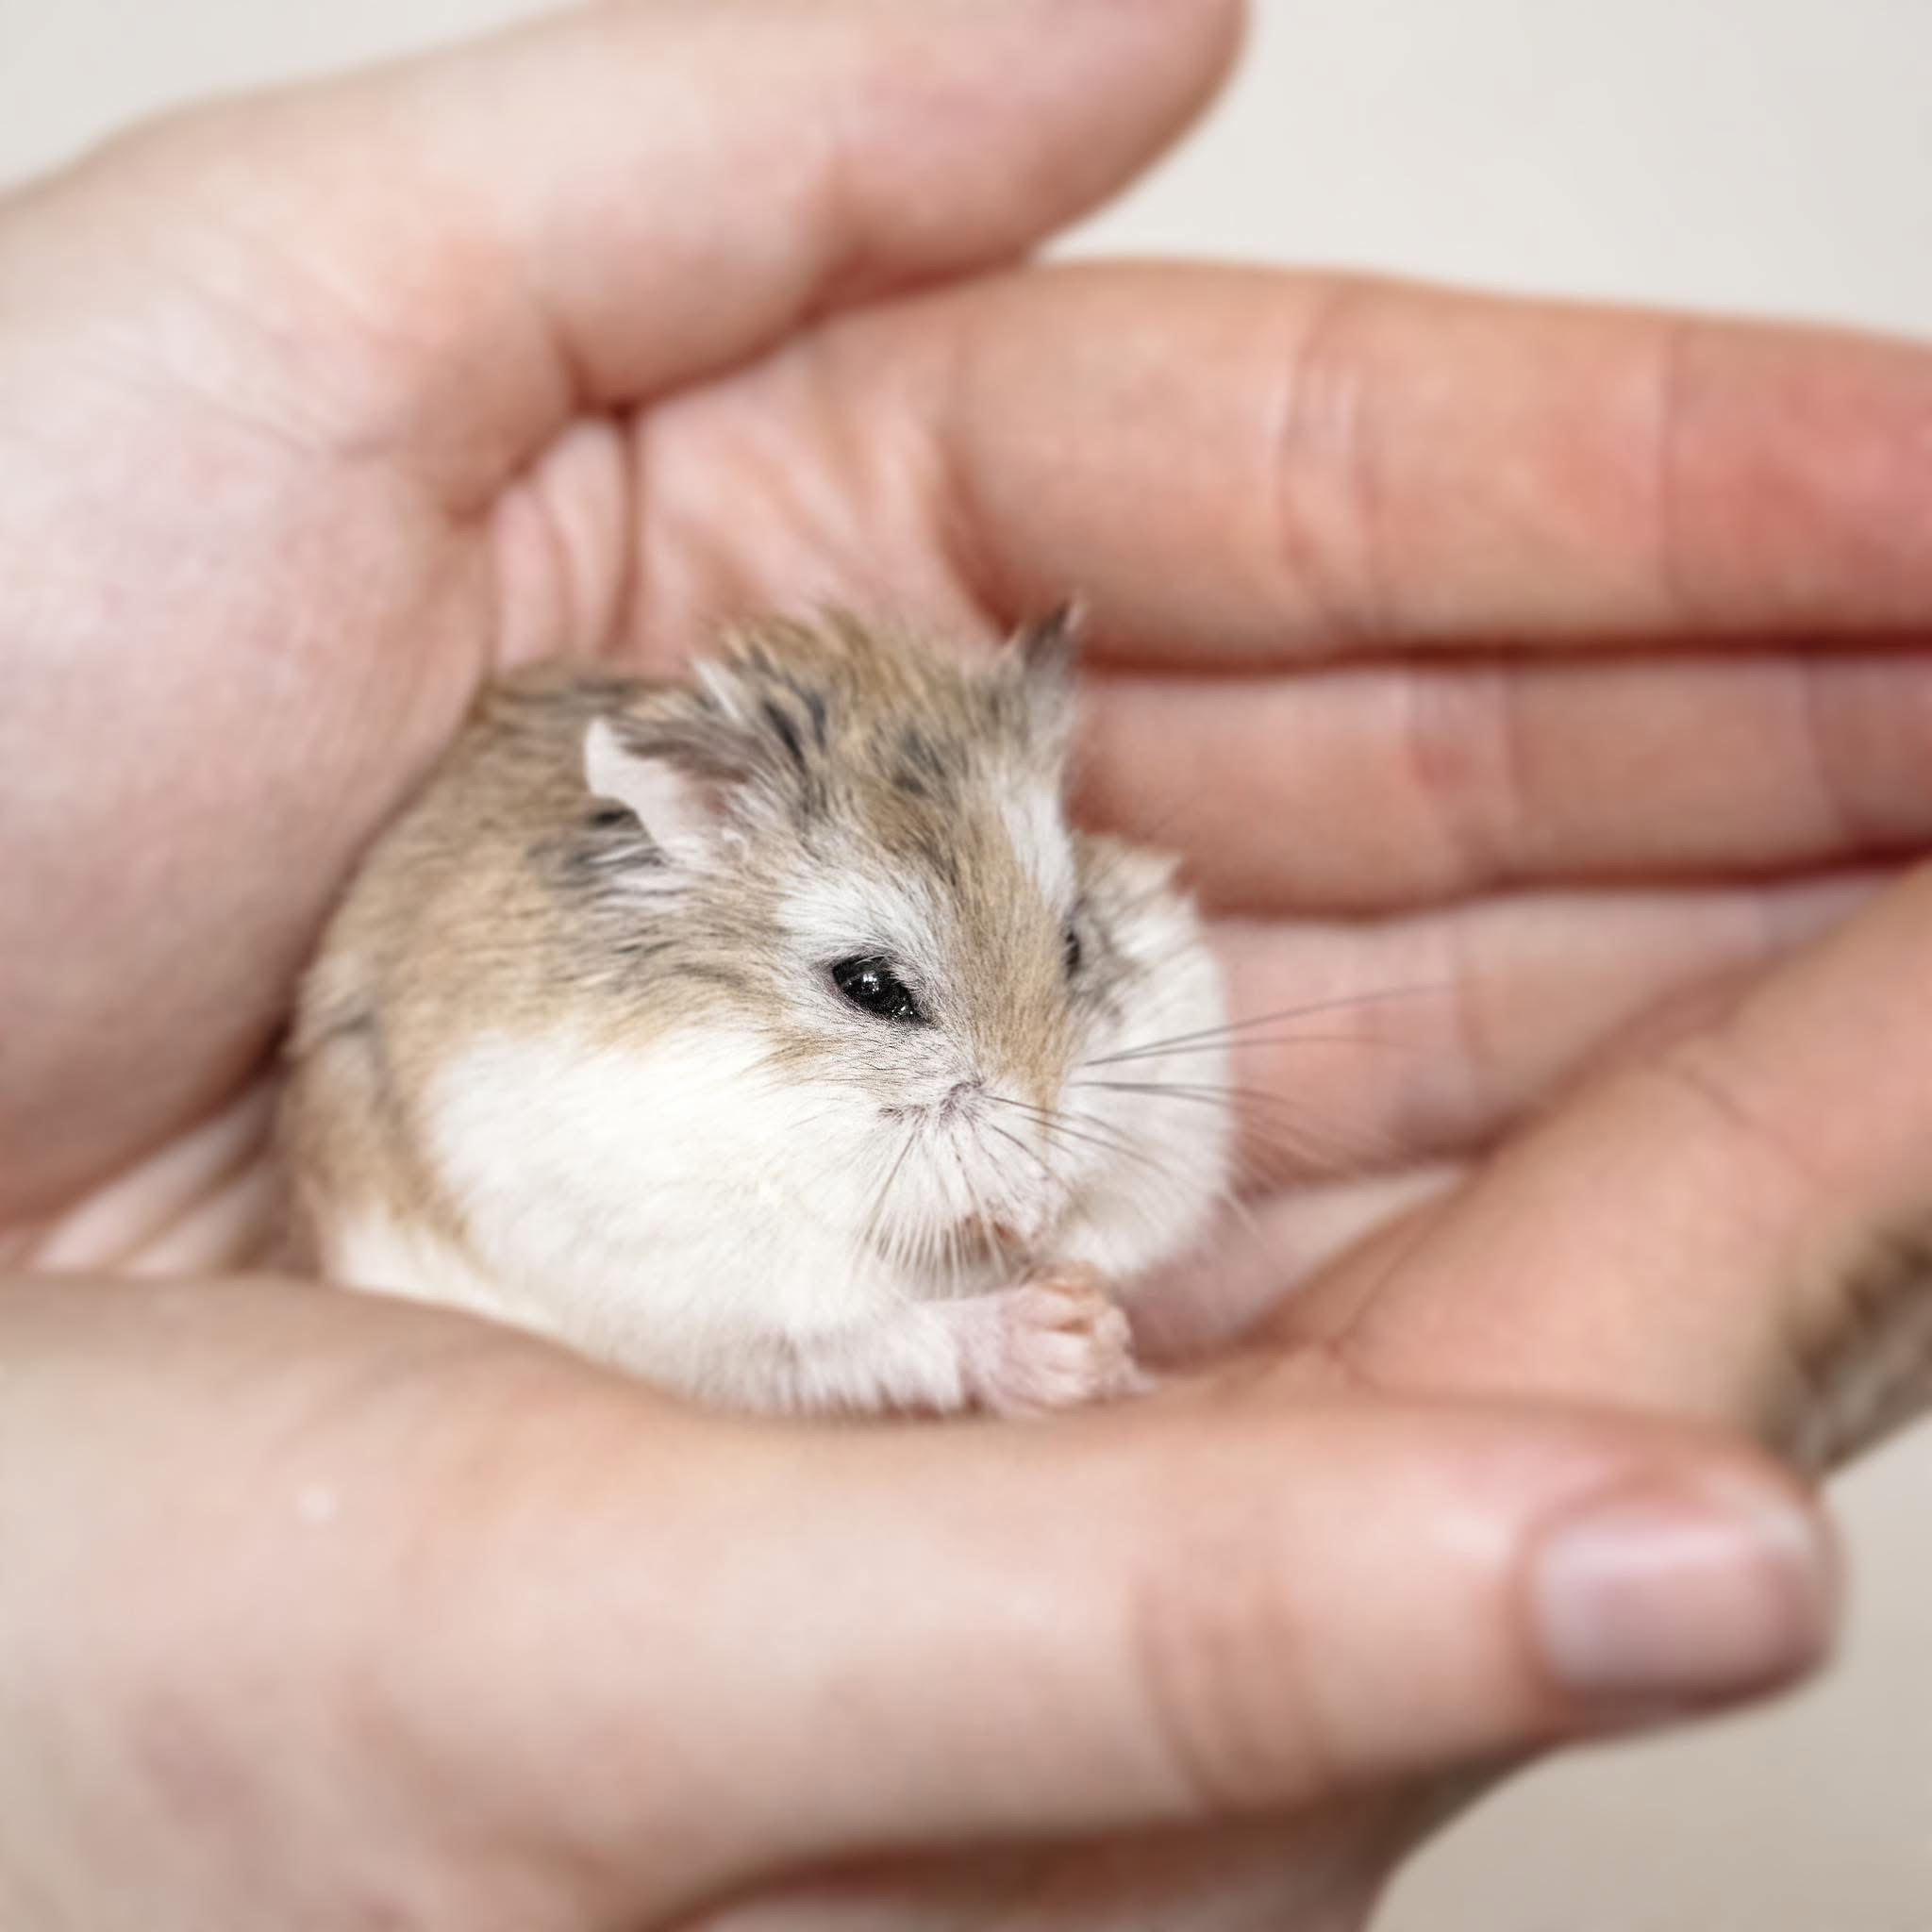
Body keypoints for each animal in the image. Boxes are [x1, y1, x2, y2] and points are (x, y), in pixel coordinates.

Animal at [281, 611, 1232, 1416]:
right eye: (870, 985)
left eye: (1073, 945)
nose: (1041, 1176)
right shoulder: (701, 1264)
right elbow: (876, 1331)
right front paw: (1069, 1335)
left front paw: (1087, 1302)